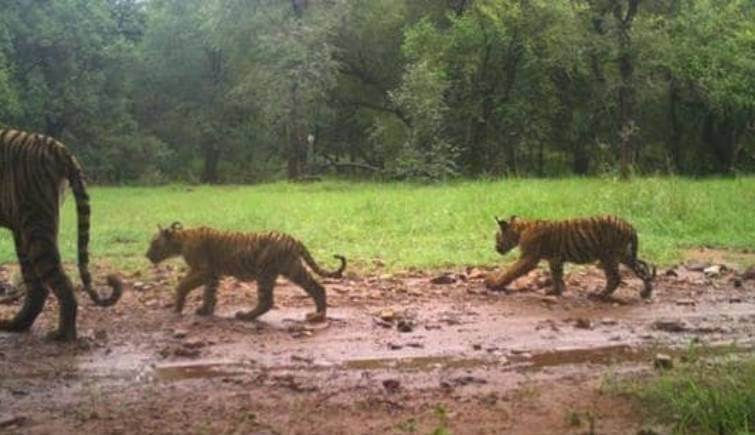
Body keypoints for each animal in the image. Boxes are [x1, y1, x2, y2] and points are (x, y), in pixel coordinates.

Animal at [0, 129, 122, 340]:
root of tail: (55, 145)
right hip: (24, 231)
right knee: (38, 288)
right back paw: (15, 325)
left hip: (36, 224)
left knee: (61, 284)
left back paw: (62, 335)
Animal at [146, 225, 346, 324]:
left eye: (154, 243)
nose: (146, 255)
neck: (181, 241)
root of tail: (293, 239)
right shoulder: (213, 273)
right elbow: (209, 292)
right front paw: (205, 310)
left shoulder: (203, 270)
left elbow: (183, 285)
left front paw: (178, 307)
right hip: (292, 268)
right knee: (316, 287)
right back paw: (318, 315)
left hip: (266, 272)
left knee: (266, 301)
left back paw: (245, 316)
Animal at [484, 215, 656, 300]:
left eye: (497, 236)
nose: (496, 248)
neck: (521, 229)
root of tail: (628, 225)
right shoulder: (555, 259)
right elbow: (556, 275)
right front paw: (556, 291)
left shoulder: (529, 258)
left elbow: (511, 271)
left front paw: (494, 284)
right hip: (623, 255)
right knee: (642, 269)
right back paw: (646, 292)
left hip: (608, 256)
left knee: (615, 278)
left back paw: (599, 295)